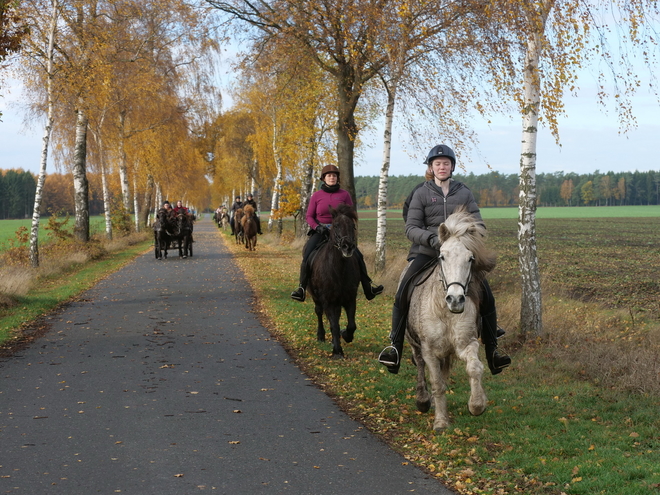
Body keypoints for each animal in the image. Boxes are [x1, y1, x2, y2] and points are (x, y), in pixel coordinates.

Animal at [306, 203, 358, 358]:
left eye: (352, 226)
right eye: (336, 225)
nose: (348, 246)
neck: (339, 270)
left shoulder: (350, 298)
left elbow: (351, 325)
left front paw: (345, 335)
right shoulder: (328, 300)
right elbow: (334, 325)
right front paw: (337, 351)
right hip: (316, 297)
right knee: (318, 312)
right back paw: (321, 336)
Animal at [408, 209, 496, 430]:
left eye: (471, 258)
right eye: (442, 256)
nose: (455, 299)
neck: (445, 312)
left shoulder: (466, 343)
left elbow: (474, 368)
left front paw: (477, 405)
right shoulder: (429, 350)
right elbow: (437, 384)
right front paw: (440, 422)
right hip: (414, 343)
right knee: (420, 366)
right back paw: (423, 401)